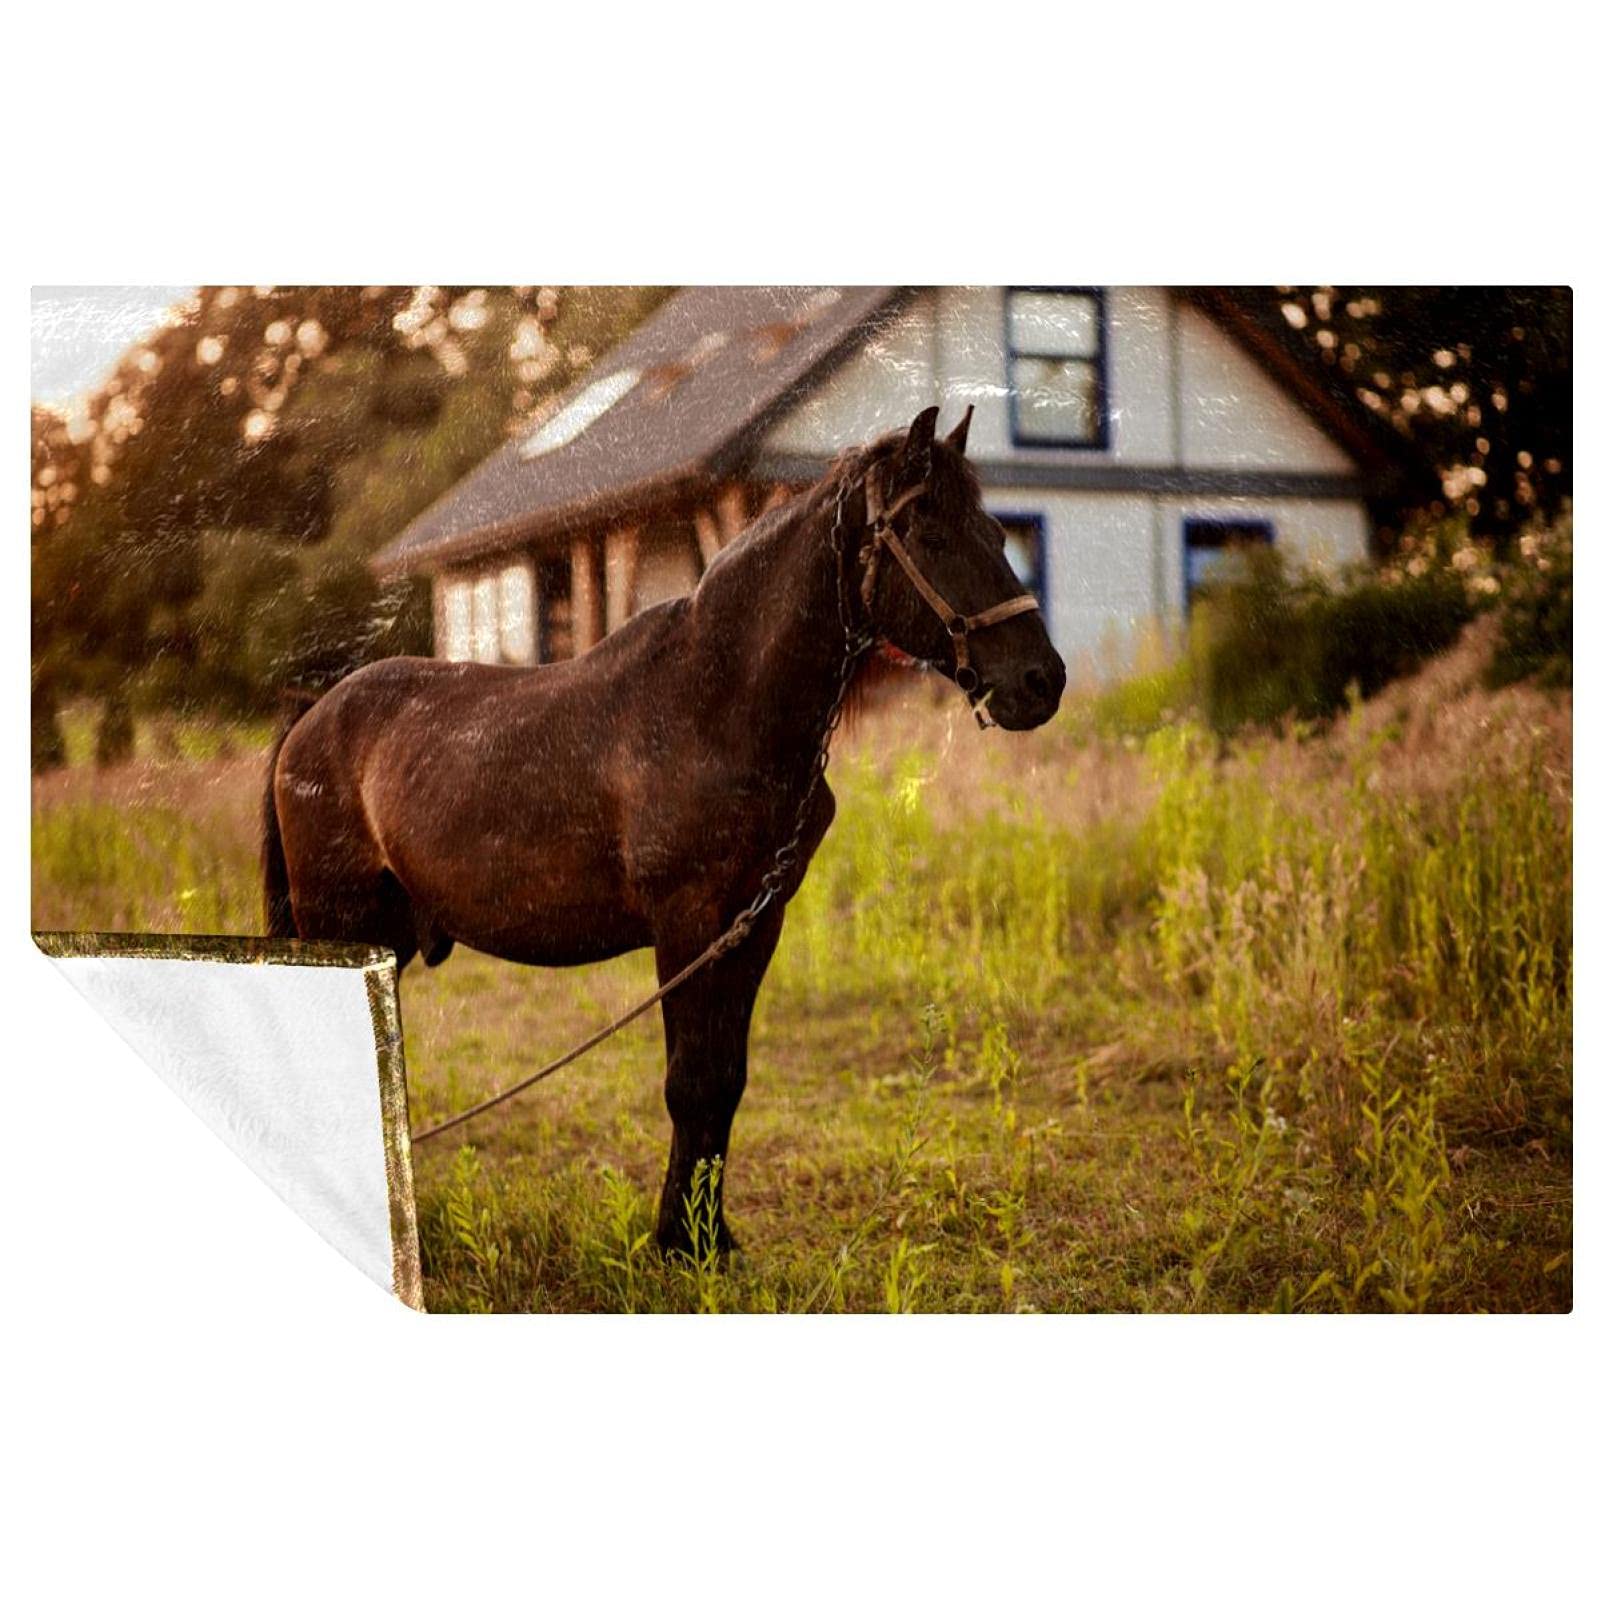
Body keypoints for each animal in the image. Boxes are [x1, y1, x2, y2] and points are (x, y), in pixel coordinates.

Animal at [262, 405, 1066, 1253]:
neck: (714, 705)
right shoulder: (686, 921)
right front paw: (678, 1241)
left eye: (995, 530)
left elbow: (725, 1080)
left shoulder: (753, 924)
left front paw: (709, 1236)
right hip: (339, 918)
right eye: (929, 533)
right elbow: (690, 1081)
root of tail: (311, 718)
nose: (1039, 680)